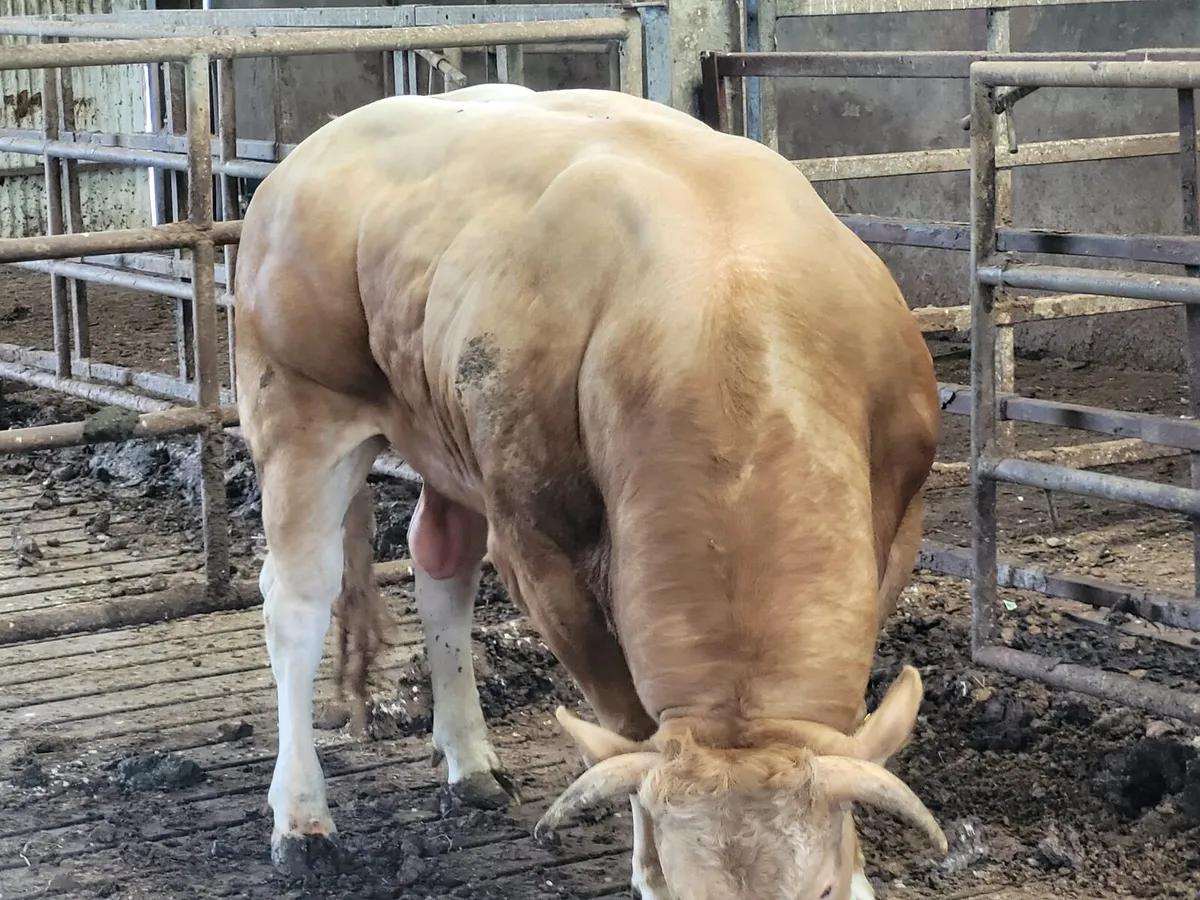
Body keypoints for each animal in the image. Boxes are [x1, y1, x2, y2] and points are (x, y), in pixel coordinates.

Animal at [233, 82, 945, 899]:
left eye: (820, 890)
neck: (729, 296)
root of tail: (308, 152)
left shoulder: (900, 523)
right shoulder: (541, 550)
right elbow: (627, 724)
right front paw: (643, 859)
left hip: (445, 431)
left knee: (439, 562)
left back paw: (469, 760)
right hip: (297, 410)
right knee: (296, 603)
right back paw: (301, 818)